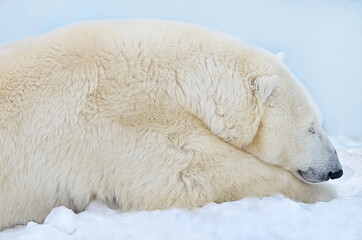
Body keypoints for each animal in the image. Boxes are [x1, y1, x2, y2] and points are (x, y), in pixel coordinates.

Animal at [0, 19, 342, 230]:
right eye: (311, 127)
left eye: (320, 123)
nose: (336, 169)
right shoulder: (128, 118)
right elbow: (192, 173)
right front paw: (326, 194)